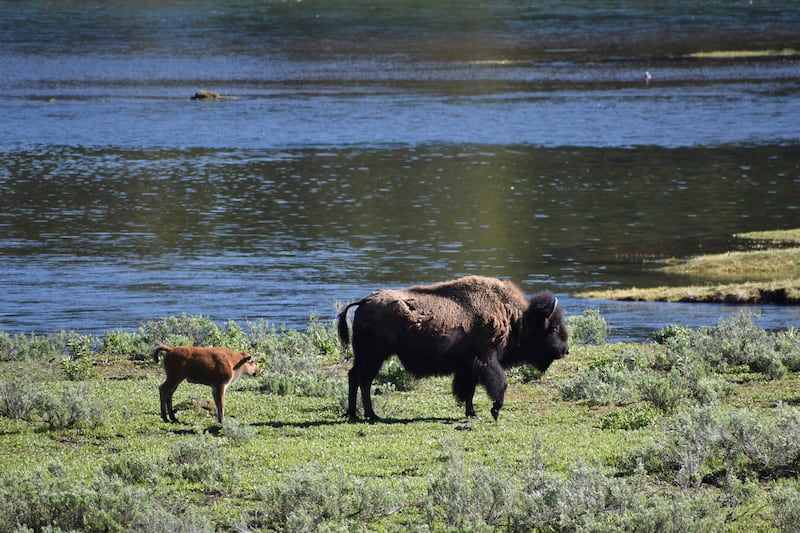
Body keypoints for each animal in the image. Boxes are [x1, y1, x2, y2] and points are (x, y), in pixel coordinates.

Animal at [338, 276, 569, 421]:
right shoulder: (486, 360)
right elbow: (499, 384)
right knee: (364, 380)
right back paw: (370, 414)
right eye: (553, 327)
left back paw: (355, 413)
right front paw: (494, 411)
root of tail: (365, 302)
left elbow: (469, 391)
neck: (515, 318)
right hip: (374, 356)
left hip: (365, 356)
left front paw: (473, 414)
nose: (565, 351)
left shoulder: (469, 368)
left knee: (354, 376)